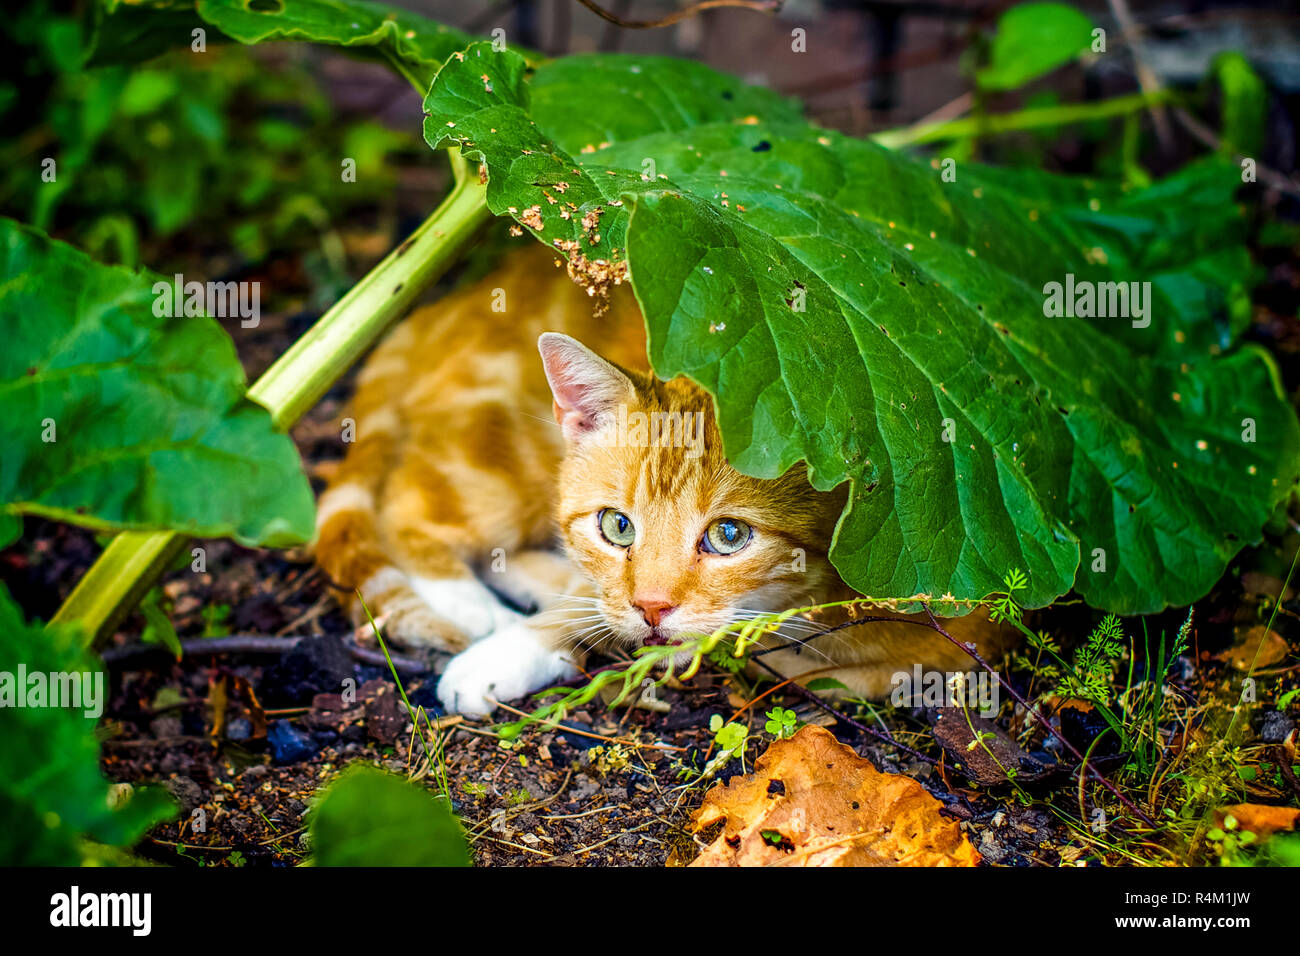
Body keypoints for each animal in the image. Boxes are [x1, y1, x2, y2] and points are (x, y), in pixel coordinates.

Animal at [314, 243, 1003, 712]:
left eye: (729, 537)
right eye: (617, 526)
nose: (649, 605)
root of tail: (445, 304)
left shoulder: (959, 640)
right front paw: (513, 648)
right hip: (498, 458)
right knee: (409, 512)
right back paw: (479, 610)